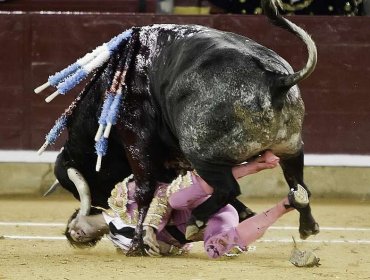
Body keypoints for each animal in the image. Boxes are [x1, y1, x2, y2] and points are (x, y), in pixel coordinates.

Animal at [47, 0, 318, 254]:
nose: (105, 206)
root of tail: (277, 80)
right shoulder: (173, 160)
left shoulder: (136, 140)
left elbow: (146, 189)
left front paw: (137, 245)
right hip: (290, 147)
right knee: (299, 185)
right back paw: (307, 225)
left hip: (200, 151)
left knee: (228, 187)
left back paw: (195, 220)